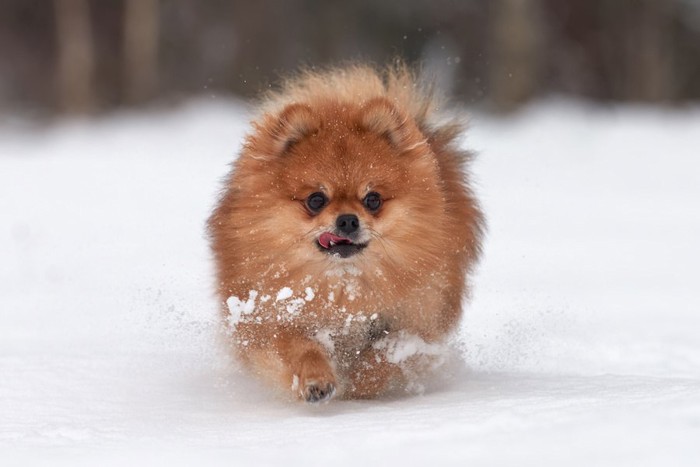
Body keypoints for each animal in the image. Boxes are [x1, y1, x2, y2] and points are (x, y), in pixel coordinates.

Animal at [208, 64, 482, 404]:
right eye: (316, 200)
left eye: (372, 199)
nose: (348, 220)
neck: (344, 285)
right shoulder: (271, 318)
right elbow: (300, 347)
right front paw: (316, 379)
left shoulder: (417, 319)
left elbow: (386, 353)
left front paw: (361, 382)